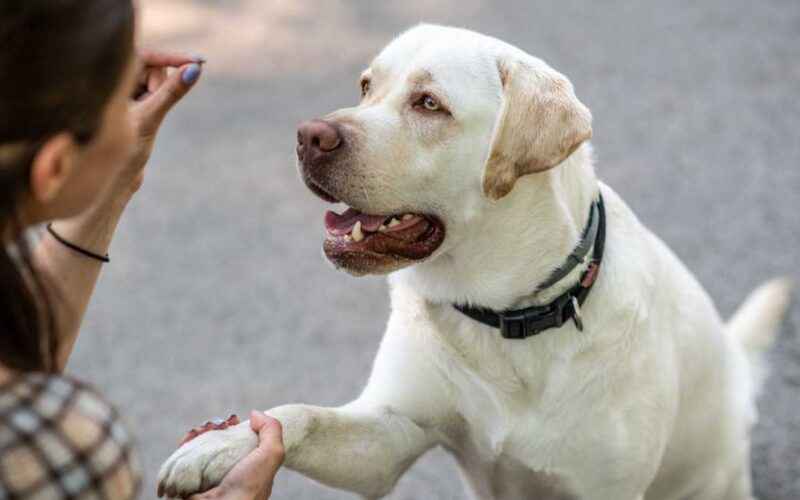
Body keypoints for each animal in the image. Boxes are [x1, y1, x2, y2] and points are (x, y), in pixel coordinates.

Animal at [158, 24, 792, 500]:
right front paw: (217, 447)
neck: (506, 315)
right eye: (365, 86)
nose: (308, 135)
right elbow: (299, 415)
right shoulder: (389, 435)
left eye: (429, 104)